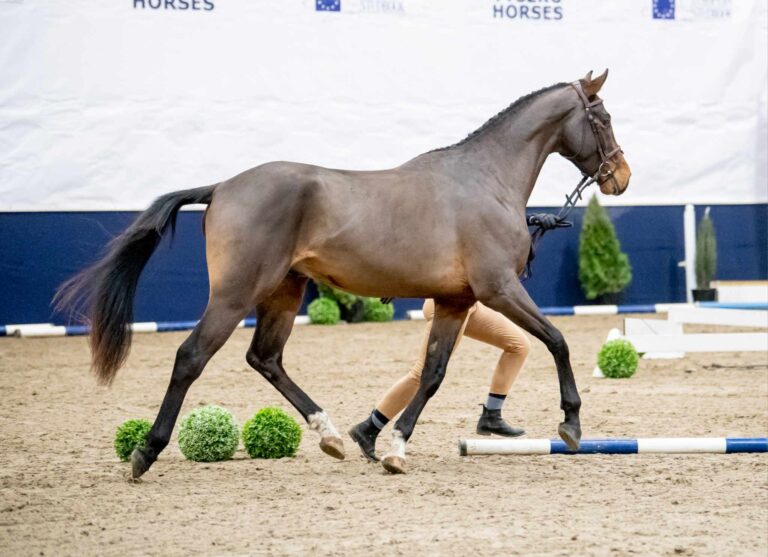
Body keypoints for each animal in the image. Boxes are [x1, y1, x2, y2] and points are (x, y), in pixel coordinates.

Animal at [56, 70, 631, 477]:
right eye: (602, 118)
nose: (621, 176)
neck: (486, 180)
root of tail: (222, 187)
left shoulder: (457, 302)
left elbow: (432, 374)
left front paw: (394, 448)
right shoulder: (499, 289)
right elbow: (558, 341)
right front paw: (572, 423)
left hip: (283, 293)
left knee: (265, 358)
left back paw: (330, 435)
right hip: (235, 295)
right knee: (191, 357)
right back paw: (145, 453)